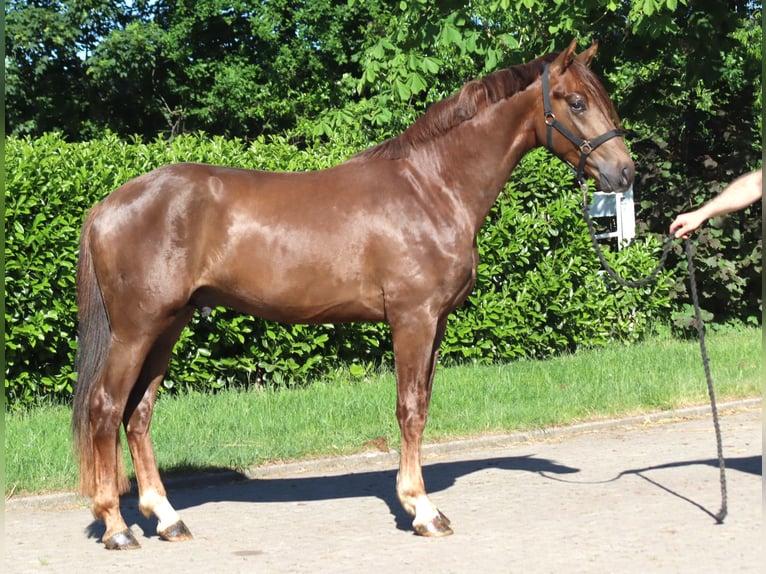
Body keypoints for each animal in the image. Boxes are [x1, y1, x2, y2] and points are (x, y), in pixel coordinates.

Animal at [72, 39, 633, 549]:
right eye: (576, 102)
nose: (623, 173)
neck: (431, 187)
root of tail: (107, 205)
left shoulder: (435, 323)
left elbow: (422, 403)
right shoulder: (413, 318)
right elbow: (411, 408)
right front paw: (422, 510)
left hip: (168, 325)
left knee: (138, 413)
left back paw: (167, 519)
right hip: (136, 330)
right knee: (105, 408)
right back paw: (117, 528)